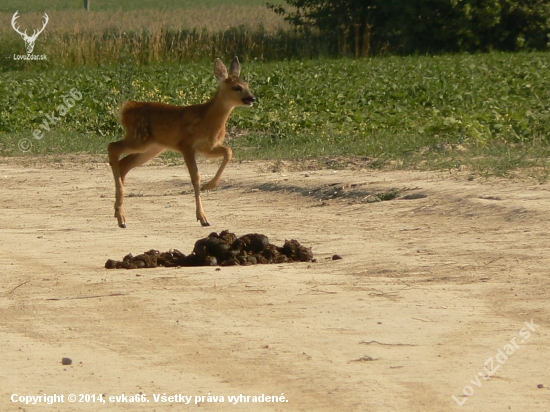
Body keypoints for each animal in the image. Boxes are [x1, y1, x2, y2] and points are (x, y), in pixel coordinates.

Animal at [109, 56, 258, 229]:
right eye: (236, 87)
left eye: (247, 85)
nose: (252, 98)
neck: (207, 119)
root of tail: (125, 109)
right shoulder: (187, 144)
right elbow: (196, 177)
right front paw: (203, 217)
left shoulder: (207, 147)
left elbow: (229, 151)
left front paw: (210, 185)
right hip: (139, 138)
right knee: (112, 147)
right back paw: (120, 215)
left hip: (151, 148)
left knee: (123, 164)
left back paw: (119, 215)